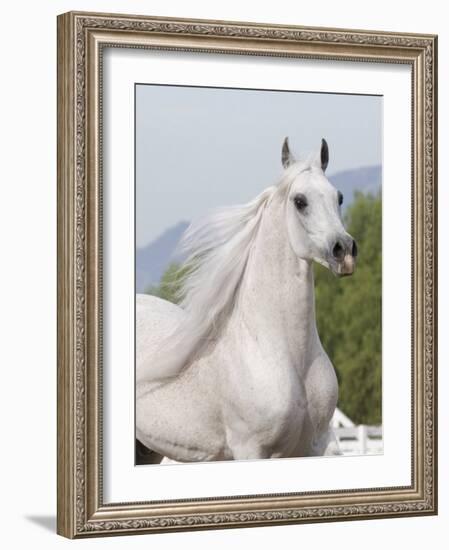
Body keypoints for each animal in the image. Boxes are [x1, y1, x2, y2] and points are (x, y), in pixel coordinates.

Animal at [135, 139, 356, 466]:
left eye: (338, 197)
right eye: (300, 201)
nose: (345, 251)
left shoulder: (320, 444)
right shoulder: (250, 449)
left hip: (146, 449)